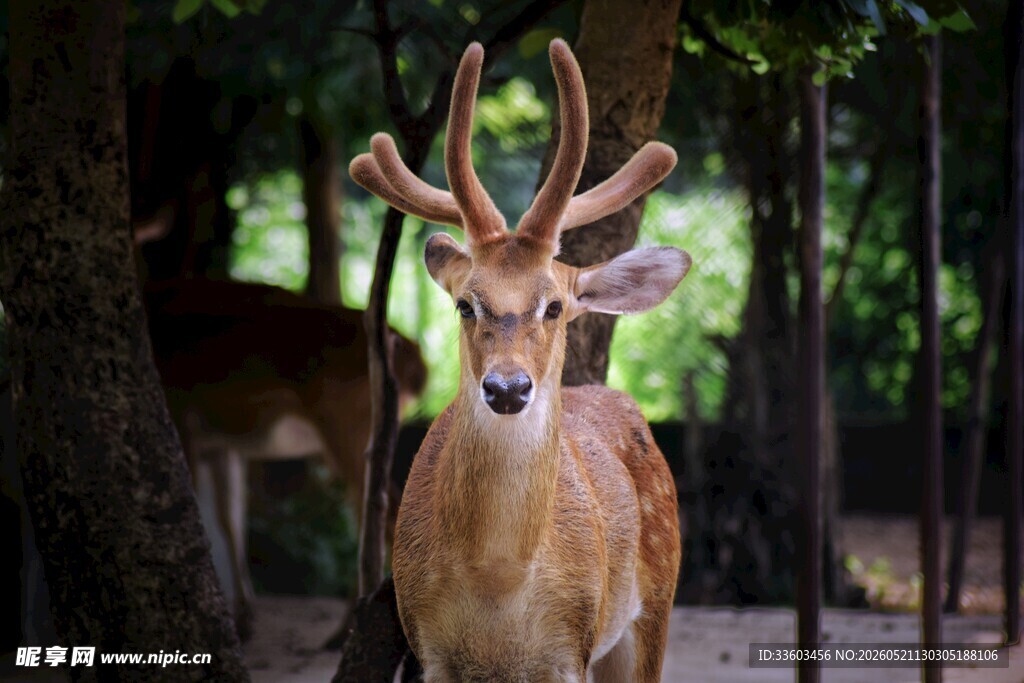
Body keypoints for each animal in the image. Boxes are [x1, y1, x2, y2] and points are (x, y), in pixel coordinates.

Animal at [143, 277, 426, 639]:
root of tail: (416, 363)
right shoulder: (220, 442)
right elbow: (228, 518)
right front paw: (244, 618)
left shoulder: (182, 416)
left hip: (348, 427)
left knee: (385, 514)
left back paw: (351, 629)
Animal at [349, 39, 689, 681]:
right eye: (464, 304)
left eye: (554, 306)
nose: (507, 388)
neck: (497, 587)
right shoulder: (427, 646)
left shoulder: (570, 649)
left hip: (657, 596)